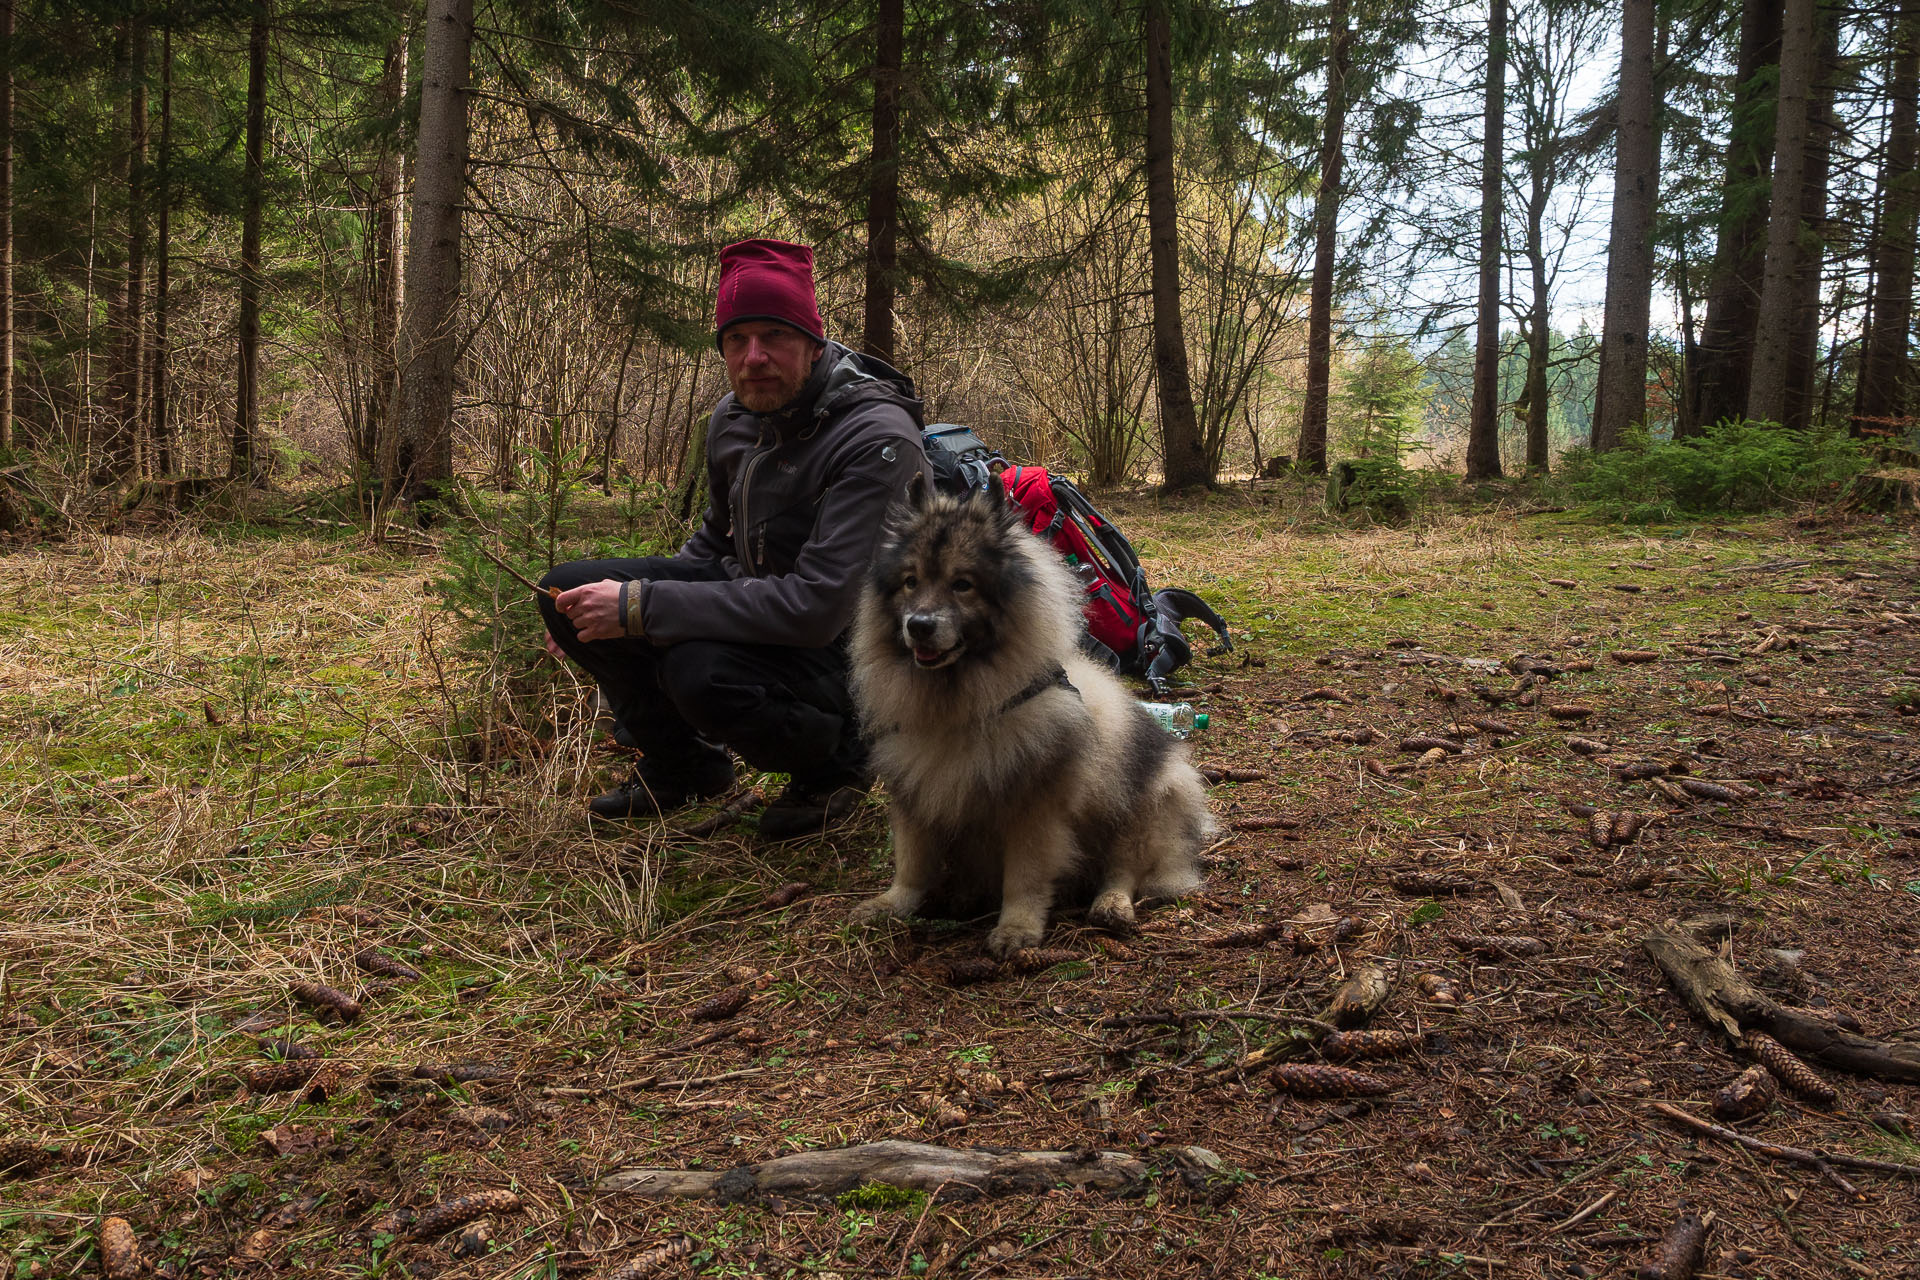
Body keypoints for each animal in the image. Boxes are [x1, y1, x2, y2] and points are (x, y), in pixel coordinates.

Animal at [848, 475, 1205, 955]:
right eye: (910, 581)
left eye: (962, 584)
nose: (919, 625)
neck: (962, 705)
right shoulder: (914, 792)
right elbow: (912, 862)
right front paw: (892, 904)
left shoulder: (1033, 808)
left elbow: (1025, 876)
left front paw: (1016, 928)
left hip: (1145, 806)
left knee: (1124, 869)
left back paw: (1111, 905)